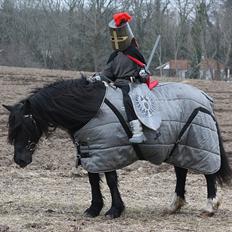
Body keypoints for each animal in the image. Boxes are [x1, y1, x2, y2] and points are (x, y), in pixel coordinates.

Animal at [2, 78, 232, 218]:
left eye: (24, 126)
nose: (20, 160)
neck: (90, 109)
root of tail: (204, 96)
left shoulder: (108, 149)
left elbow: (111, 180)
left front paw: (114, 210)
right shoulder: (91, 150)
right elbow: (93, 180)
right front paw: (94, 208)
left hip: (199, 142)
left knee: (209, 173)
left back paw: (210, 205)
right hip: (179, 145)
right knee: (181, 172)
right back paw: (174, 205)